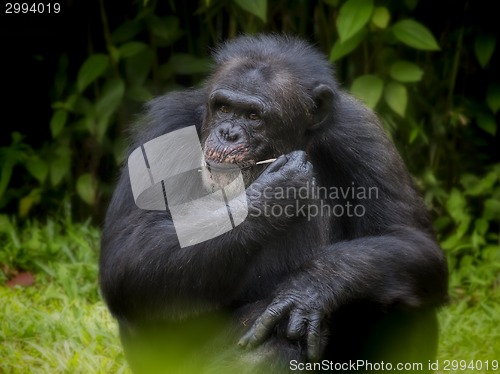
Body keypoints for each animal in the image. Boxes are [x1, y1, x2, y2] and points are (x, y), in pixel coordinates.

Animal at [99, 33, 448, 372]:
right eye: (223, 107)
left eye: (254, 116)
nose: (228, 133)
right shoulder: (163, 130)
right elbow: (130, 254)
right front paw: (277, 192)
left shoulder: (362, 133)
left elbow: (411, 239)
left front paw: (310, 287)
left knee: (402, 292)